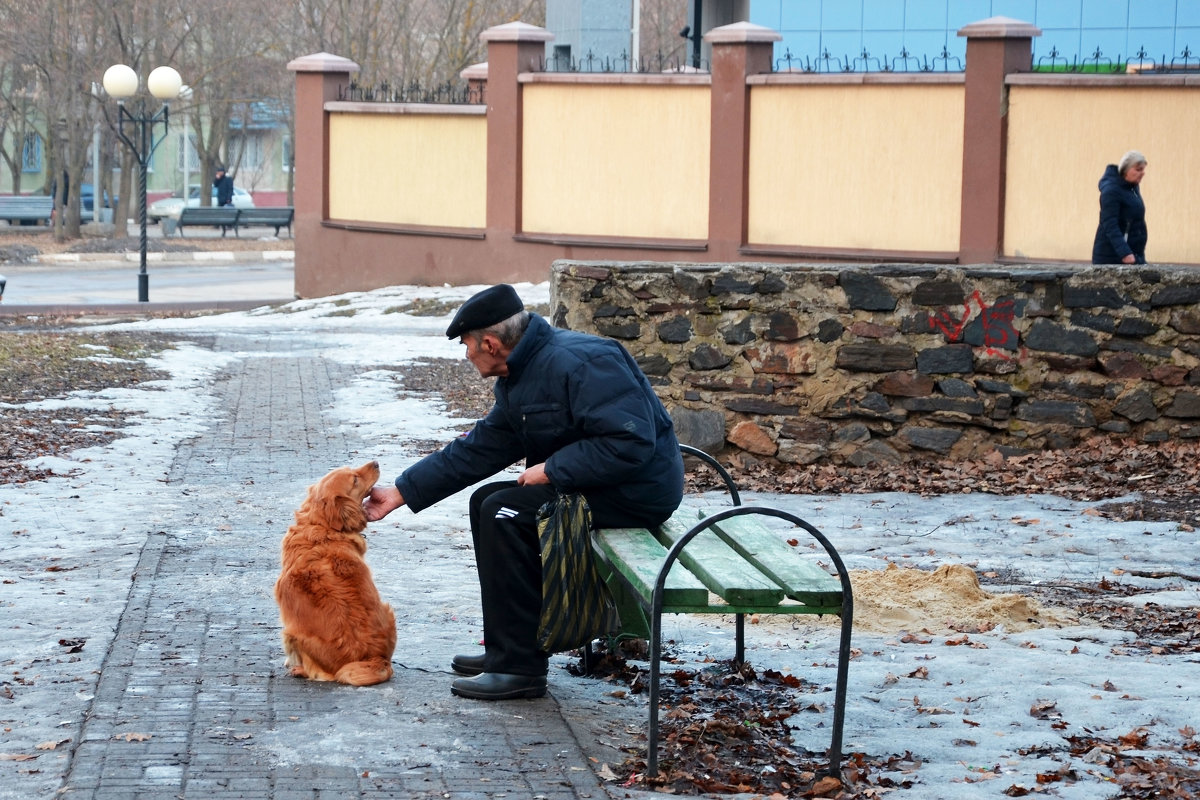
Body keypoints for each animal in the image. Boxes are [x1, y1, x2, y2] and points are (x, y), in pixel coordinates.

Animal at [274, 460, 396, 686]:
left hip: (290, 633)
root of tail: (374, 658)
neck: (323, 526)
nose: (375, 462)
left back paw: (298, 669)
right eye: (354, 478)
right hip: (389, 611)